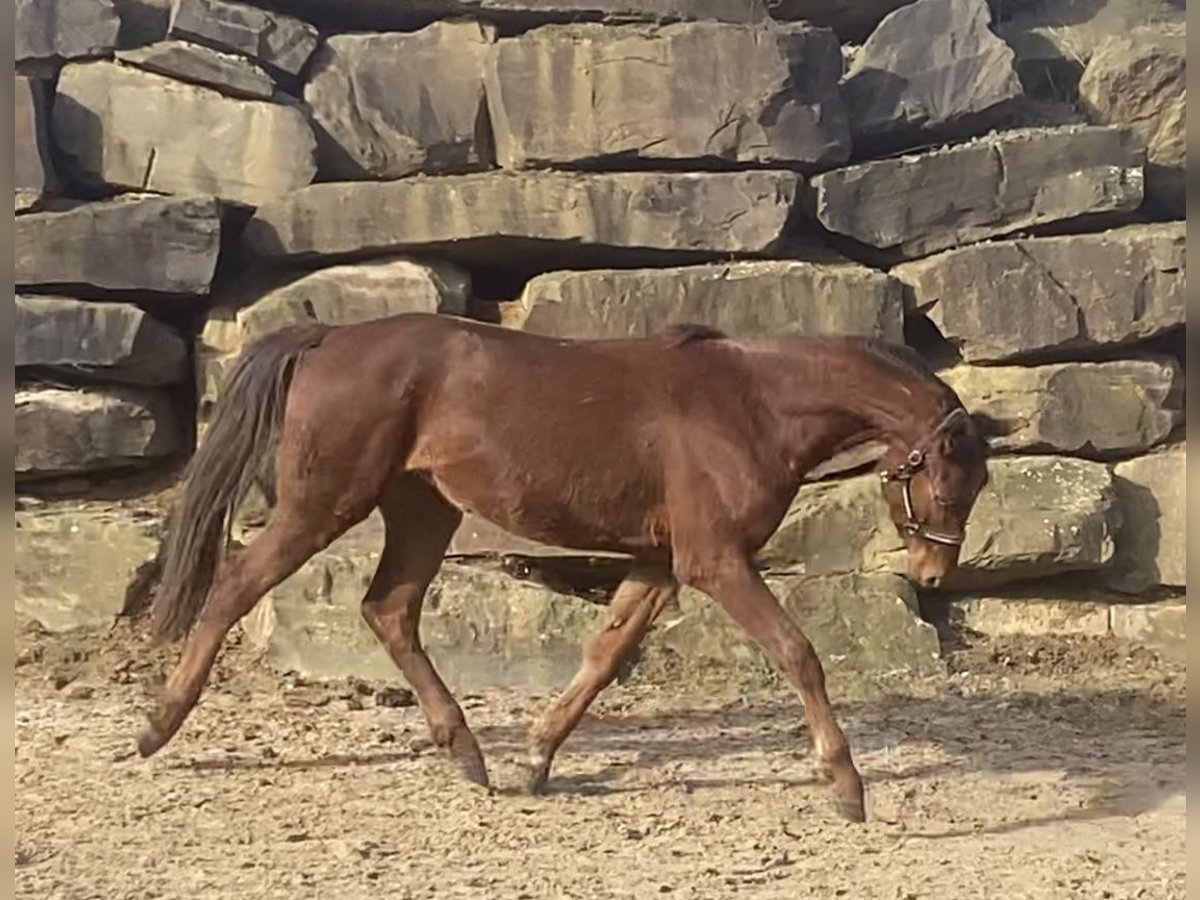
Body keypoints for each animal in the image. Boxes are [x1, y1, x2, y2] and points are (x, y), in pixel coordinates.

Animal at [136, 312, 988, 825]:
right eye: (951, 485)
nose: (933, 577)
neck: (750, 405)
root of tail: (330, 334)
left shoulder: (658, 562)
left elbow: (604, 655)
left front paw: (537, 757)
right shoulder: (713, 561)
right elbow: (797, 653)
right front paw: (845, 785)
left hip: (423, 509)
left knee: (389, 610)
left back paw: (468, 753)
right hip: (326, 502)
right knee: (237, 585)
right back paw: (158, 725)